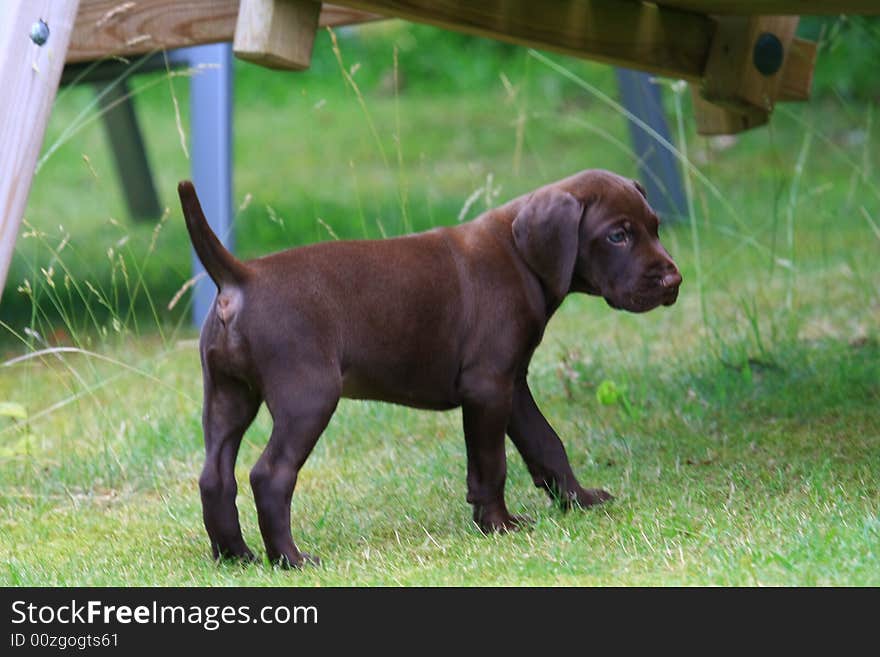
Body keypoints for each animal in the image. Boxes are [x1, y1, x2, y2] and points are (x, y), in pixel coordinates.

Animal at [179, 172, 684, 568]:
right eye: (617, 236)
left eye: (655, 228)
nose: (673, 280)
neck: (518, 255)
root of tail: (242, 278)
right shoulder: (487, 386)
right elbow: (491, 463)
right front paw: (498, 524)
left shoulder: (512, 384)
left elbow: (546, 444)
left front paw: (578, 500)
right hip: (309, 398)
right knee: (270, 475)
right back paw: (290, 559)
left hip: (227, 397)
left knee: (214, 477)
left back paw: (236, 555)